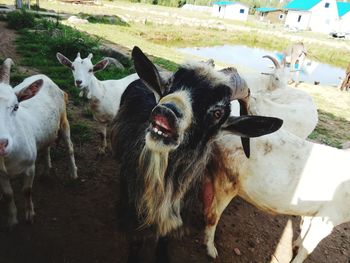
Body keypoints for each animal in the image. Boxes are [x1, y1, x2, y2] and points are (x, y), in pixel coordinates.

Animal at [0, 59, 77, 227]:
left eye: (16, 106)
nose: (1, 144)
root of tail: (46, 77)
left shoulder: (29, 167)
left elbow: (27, 191)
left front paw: (30, 215)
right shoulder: (1, 174)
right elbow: (8, 194)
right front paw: (12, 220)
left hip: (64, 121)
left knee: (69, 147)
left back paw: (73, 174)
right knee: (46, 147)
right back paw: (46, 171)